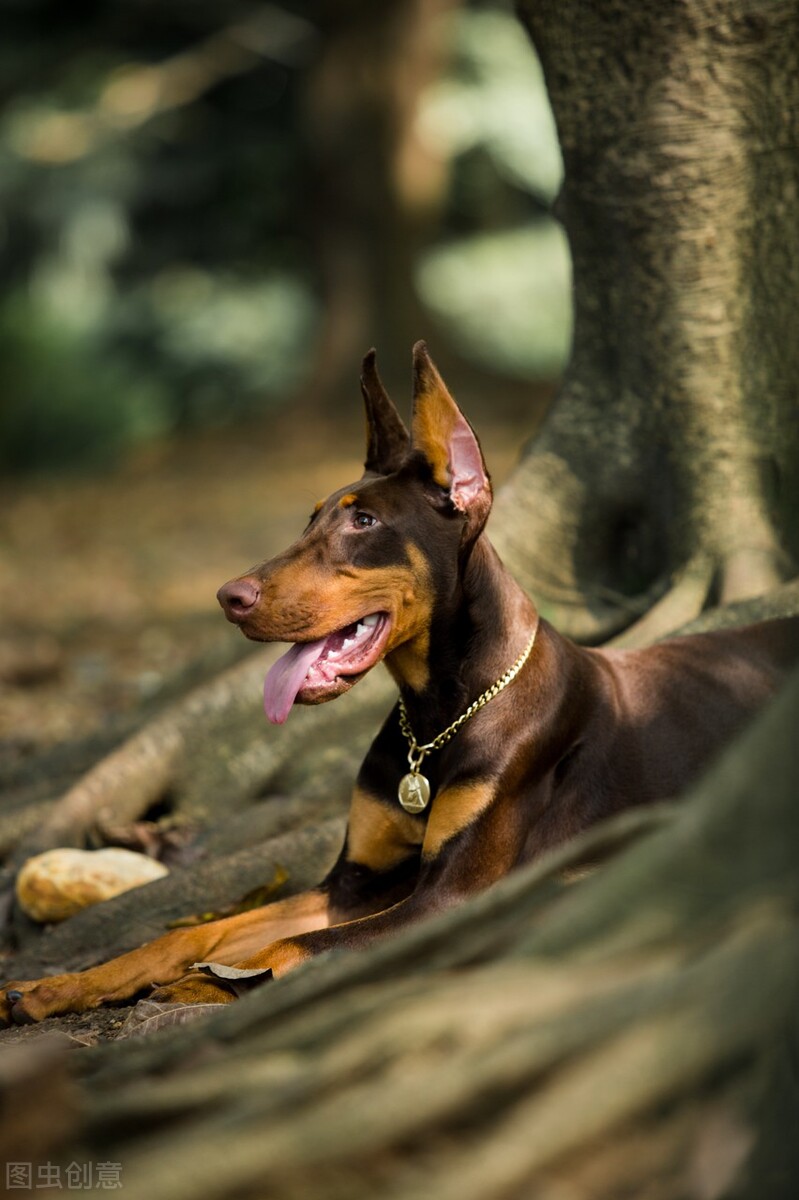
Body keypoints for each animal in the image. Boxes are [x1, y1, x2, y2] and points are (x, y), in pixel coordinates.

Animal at [1, 340, 796, 1022]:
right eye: (311, 518)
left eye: (363, 523)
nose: (229, 597)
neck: (441, 711)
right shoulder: (353, 882)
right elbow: (194, 933)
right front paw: (57, 986)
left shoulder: (448, 896)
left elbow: (289, 948)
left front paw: (209, 986)